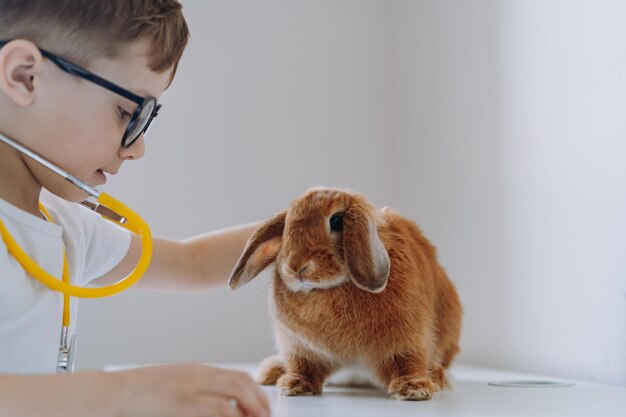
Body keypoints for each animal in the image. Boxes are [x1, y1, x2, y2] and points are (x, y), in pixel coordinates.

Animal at [227, 187, 460, 398]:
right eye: (286, 228)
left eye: (337, 221)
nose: (295, 266)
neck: (328, 289)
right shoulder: (299, 348)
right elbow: (302, 366)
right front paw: (294, 385)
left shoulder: (408, 339)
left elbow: (407, 361)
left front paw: (413, 389)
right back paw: (271, 371)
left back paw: (436, 376)